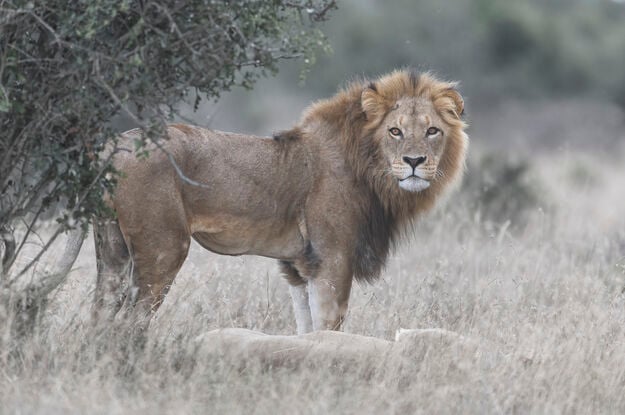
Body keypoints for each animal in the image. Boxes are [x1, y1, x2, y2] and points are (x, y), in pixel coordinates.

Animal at [70, 70, 466, 334]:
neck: (371, 170)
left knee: (100, 316)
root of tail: (114, 145)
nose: (414, 161)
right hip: (164, 247)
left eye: (432, 131)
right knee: (130, 322)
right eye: (395, 131)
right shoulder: (332, 260)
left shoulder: (299, 267)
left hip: (113, 250)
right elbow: (329, 329)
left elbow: (307, 331)